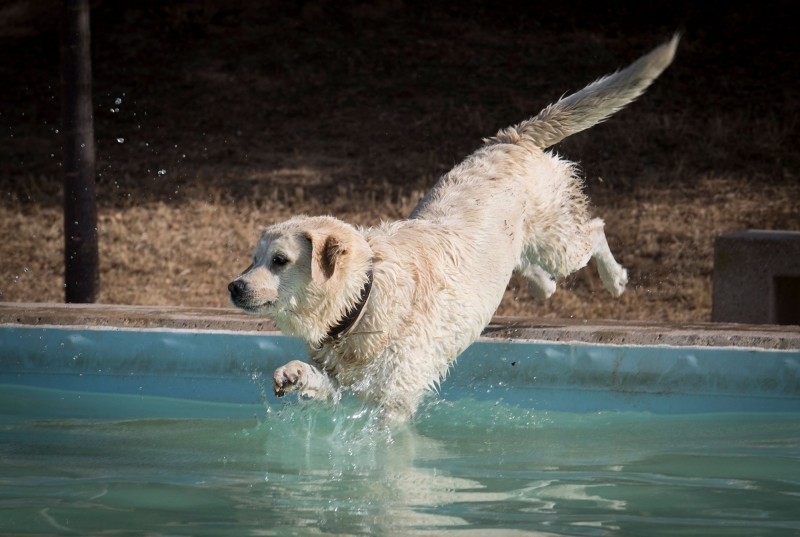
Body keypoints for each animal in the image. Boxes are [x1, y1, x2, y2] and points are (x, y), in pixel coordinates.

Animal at [228, 35, 680, 422]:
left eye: (280, 260)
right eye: (253, 259)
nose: (234, 286)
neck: (365, 296)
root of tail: (508, 138)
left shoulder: (395, 395)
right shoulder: (343, 376)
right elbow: (321, 380)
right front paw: (293, 373)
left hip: (557, 241)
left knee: (595, 230)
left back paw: (614, 278)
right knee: (524, 263)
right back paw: (542, 285)